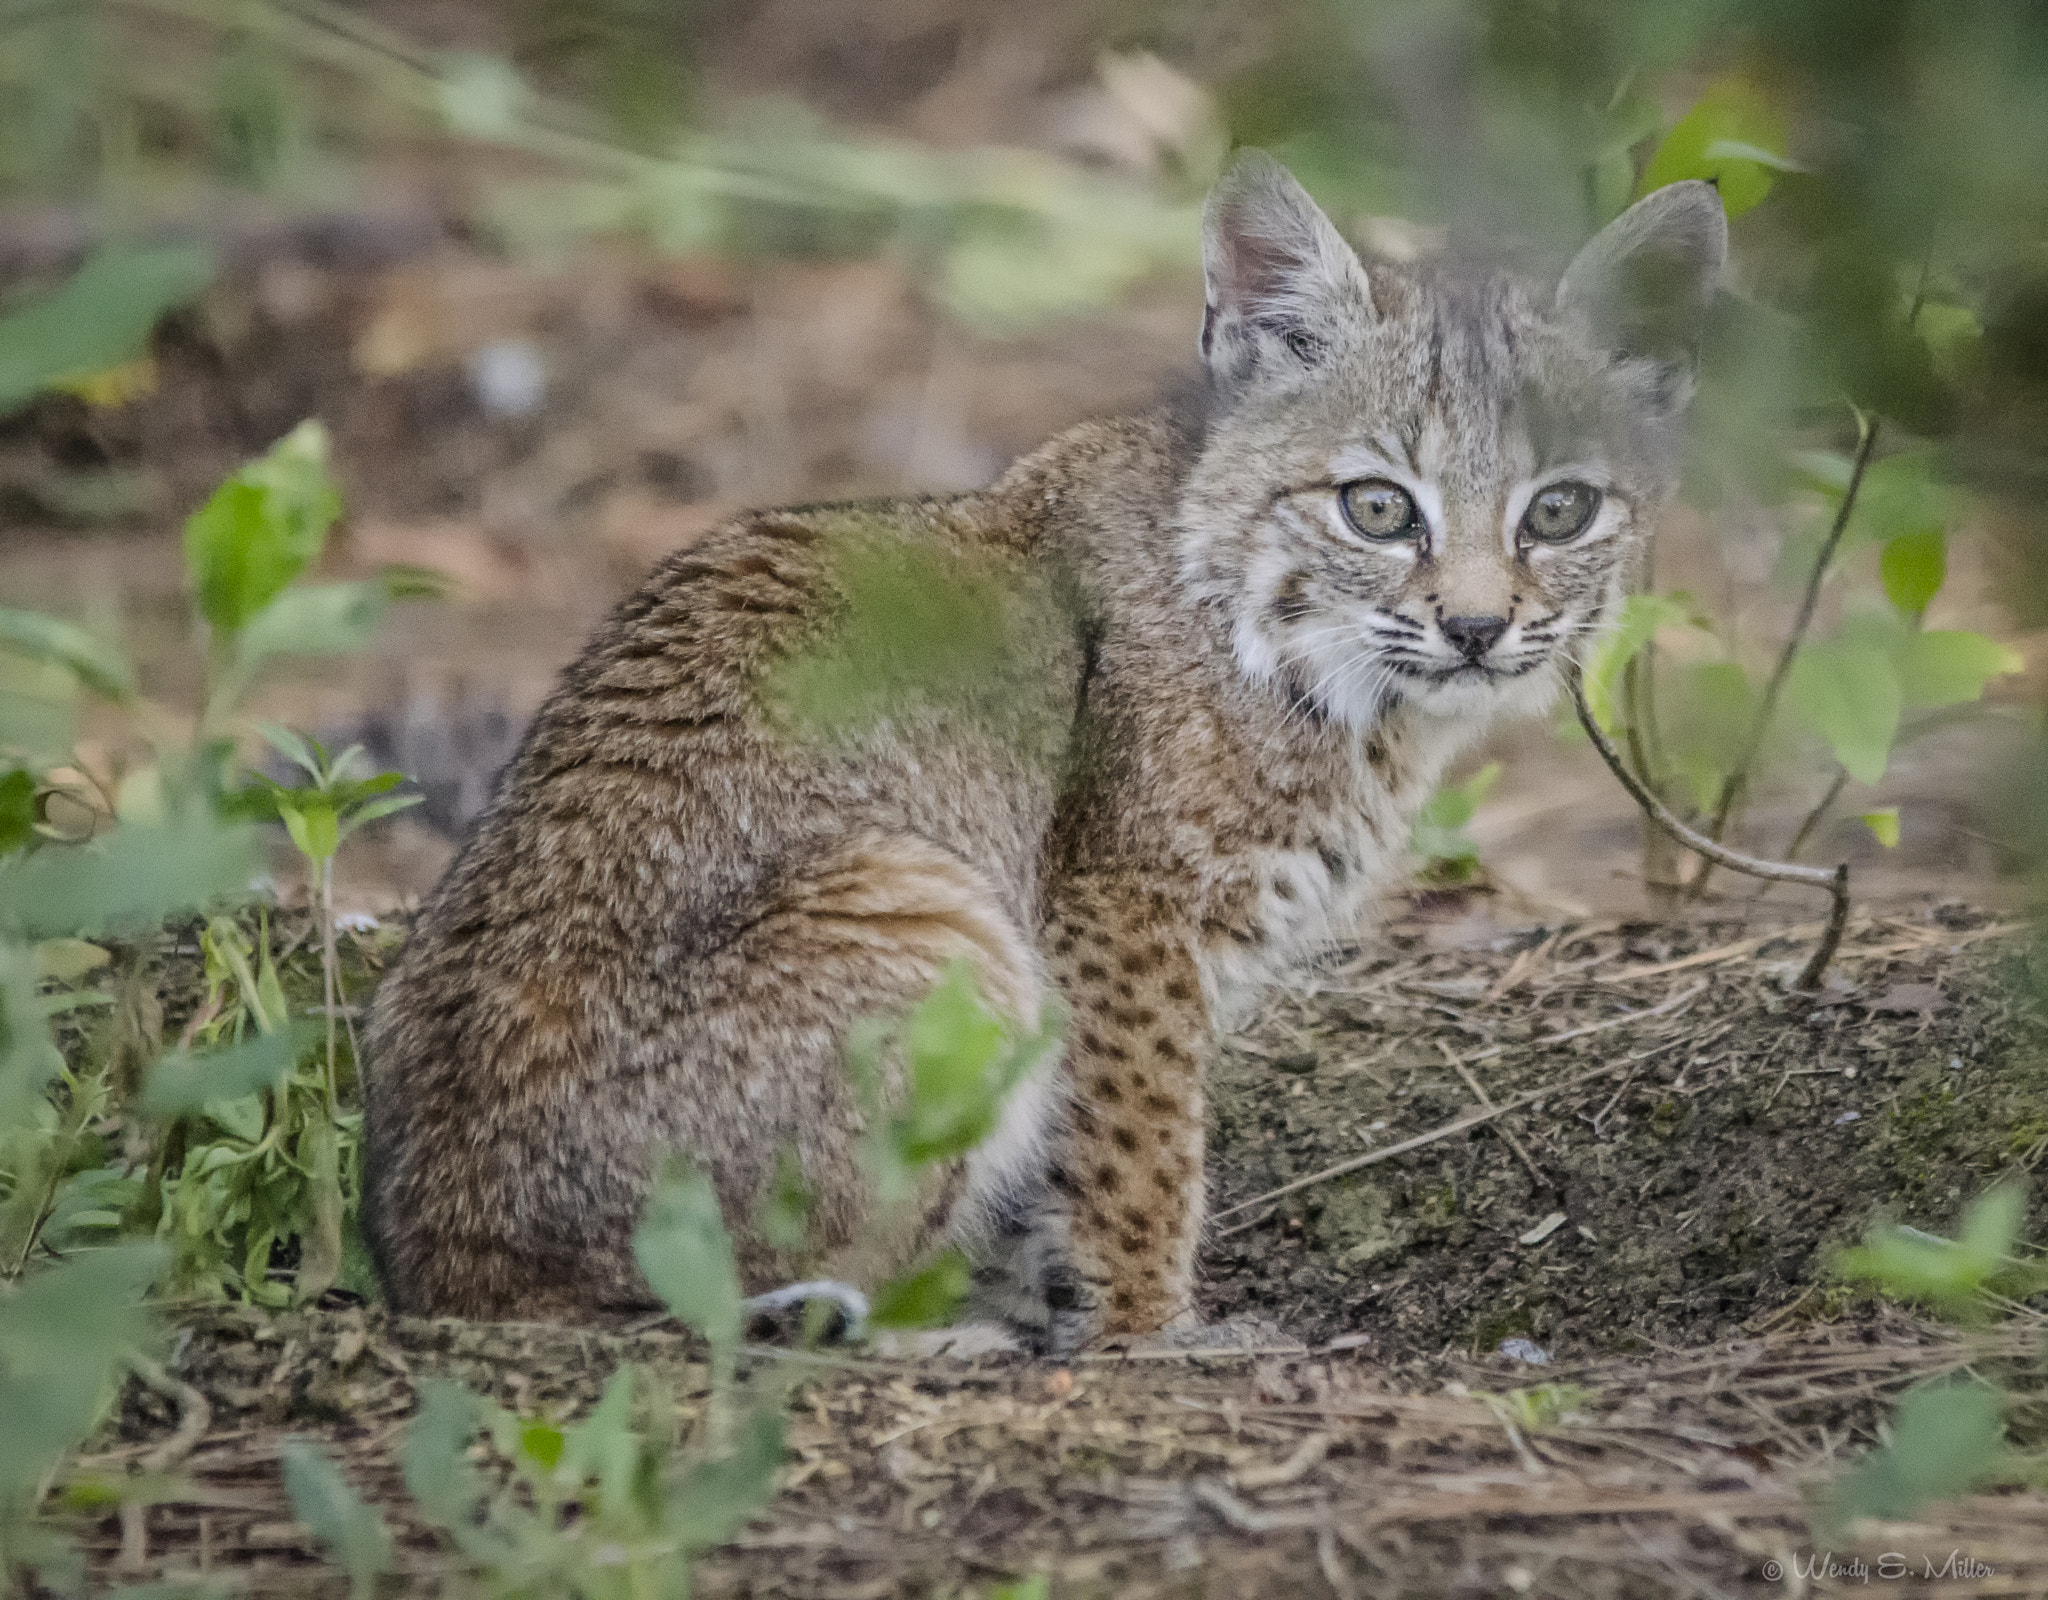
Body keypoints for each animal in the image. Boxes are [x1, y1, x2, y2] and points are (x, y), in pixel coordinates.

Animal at [364, 155, 1728, 1335]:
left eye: (1560, 510)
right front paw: (1147, 1332)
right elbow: (1140, 1149)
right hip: (933, 910)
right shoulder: (1119, 911)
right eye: (1377, 508)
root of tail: (434, 1256)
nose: (1476, 628)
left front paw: (1077, 1307)